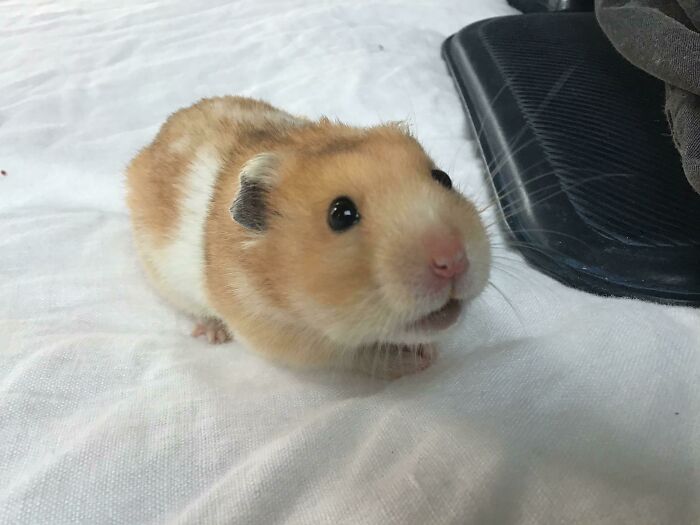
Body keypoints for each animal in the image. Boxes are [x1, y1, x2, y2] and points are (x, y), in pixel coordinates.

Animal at [125, 96, 490, 378]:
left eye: (443, 178)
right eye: (340, 214)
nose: (452, 261)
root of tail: (152, 142)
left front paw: (431, 351)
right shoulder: (281, 338)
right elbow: (356, 356)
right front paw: (421, 360)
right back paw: (213, 334)